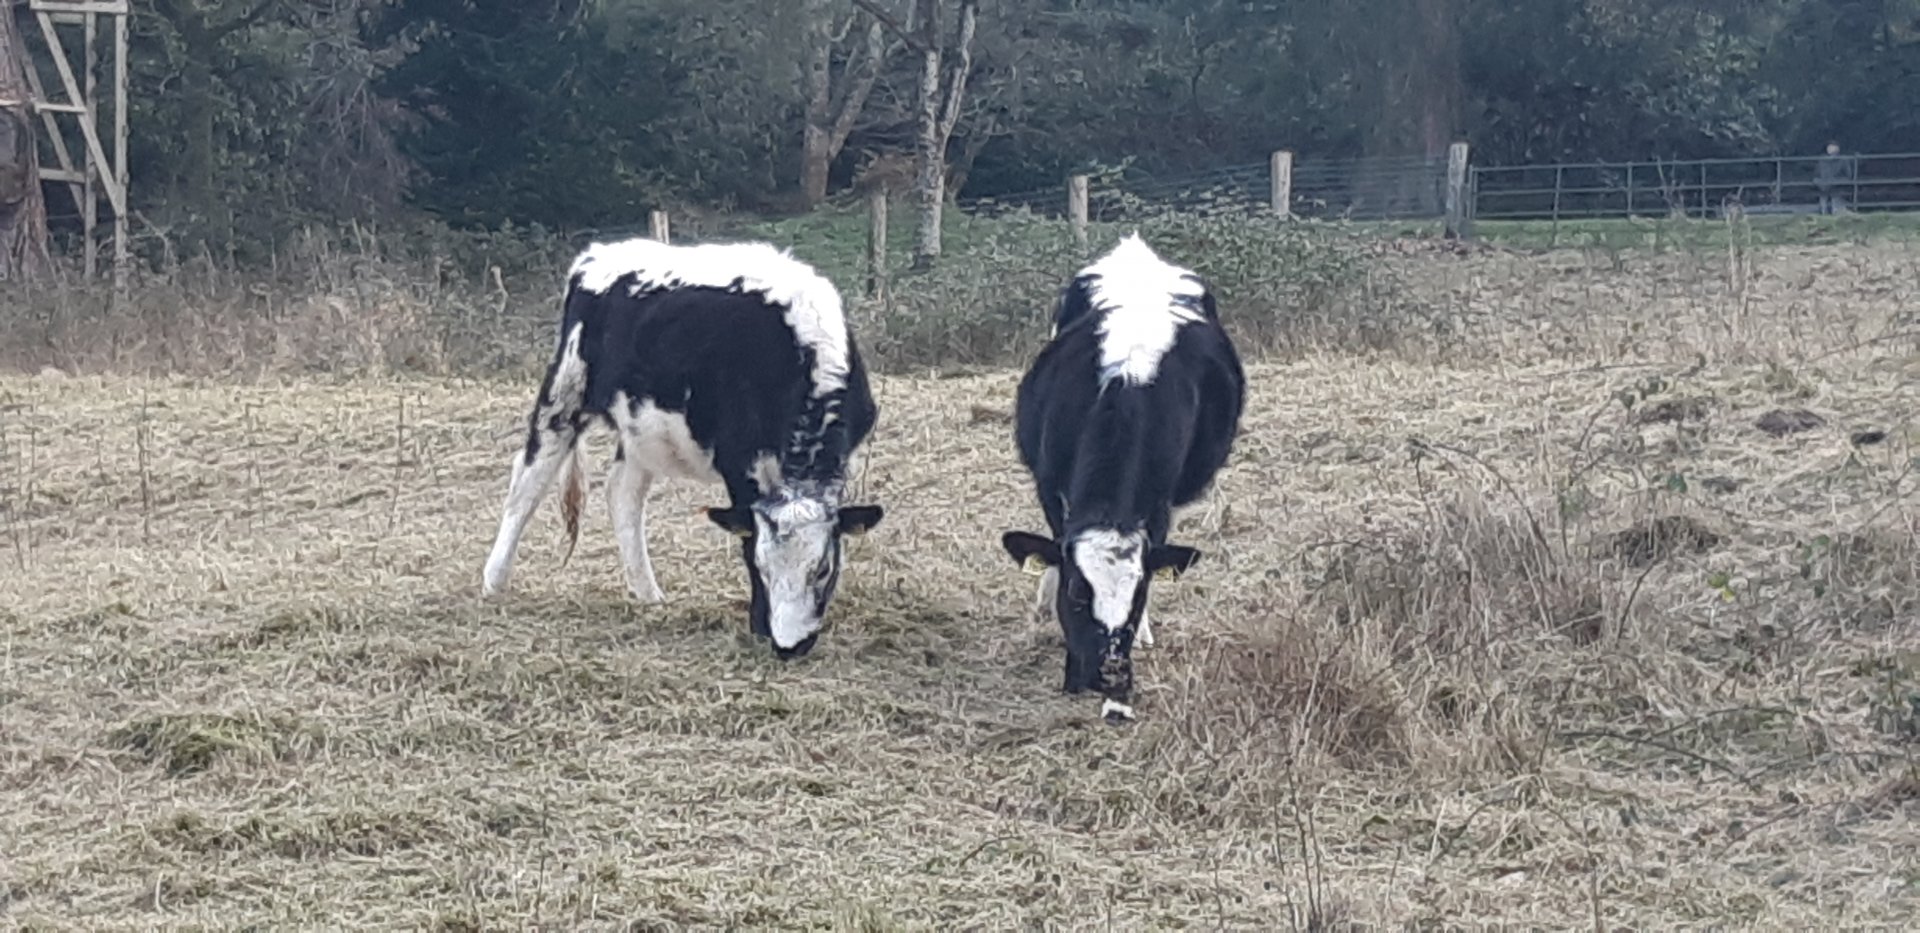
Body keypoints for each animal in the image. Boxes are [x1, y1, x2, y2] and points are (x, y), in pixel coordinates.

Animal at [480, 236, 885, 659]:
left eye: (823, 569)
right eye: (762, 567)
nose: (790, 646)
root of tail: (600, 253)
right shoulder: (738, 460)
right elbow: (745, 532)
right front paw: (759, 625)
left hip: (638, 429)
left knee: (622, 493)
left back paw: (648, 593)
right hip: (564, 392)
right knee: (528, 481)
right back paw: (494, 580)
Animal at [999, 234, 1246, 722]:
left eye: (1140, 594)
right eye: (1077, 593)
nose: (1108, 672)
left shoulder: (1161, 504)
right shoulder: (1050, 486)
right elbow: (1055, 543)